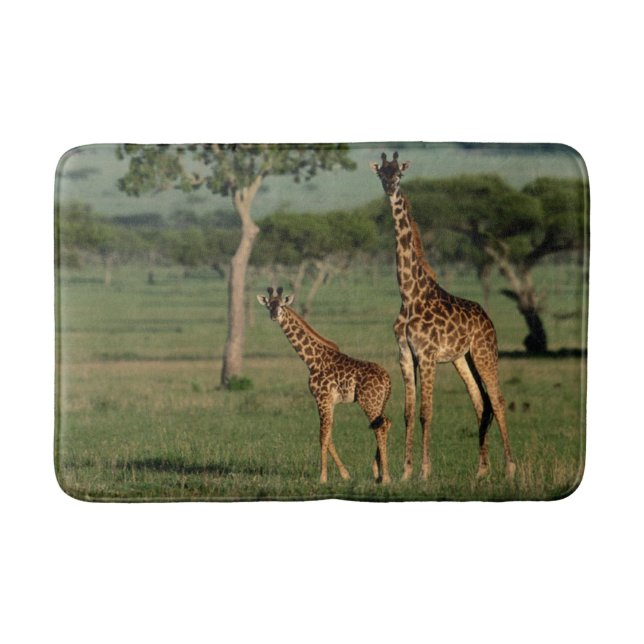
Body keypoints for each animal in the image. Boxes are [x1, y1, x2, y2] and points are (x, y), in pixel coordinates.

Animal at [257, 286, 393, 484]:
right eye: (269, 305)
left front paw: (322, 477)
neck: (312, 360)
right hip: (380, 402)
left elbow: (322, 436)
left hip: (369, 402)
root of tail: (388, 379)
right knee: (385, 423)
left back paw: (386, 477)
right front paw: (345, 475)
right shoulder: (330, 401)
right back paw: (378, 473)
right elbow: (329, 436)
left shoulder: (321, 398)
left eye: (282, 305)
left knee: (380, 427)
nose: (274, 315)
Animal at [370, 152, 516, 481]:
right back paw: (481, 470)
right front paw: (405, 472)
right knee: (481, 402)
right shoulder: (405, 355)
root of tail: (488, 319)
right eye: (382, 174)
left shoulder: (427, 355)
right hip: (463, 358)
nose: (389, 188)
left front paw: (424, 472)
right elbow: (408, 412)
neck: (409, 295)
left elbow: (426, 413)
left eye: (399, 174)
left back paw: (510, 468)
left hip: (485, 352)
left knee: (498, 400)